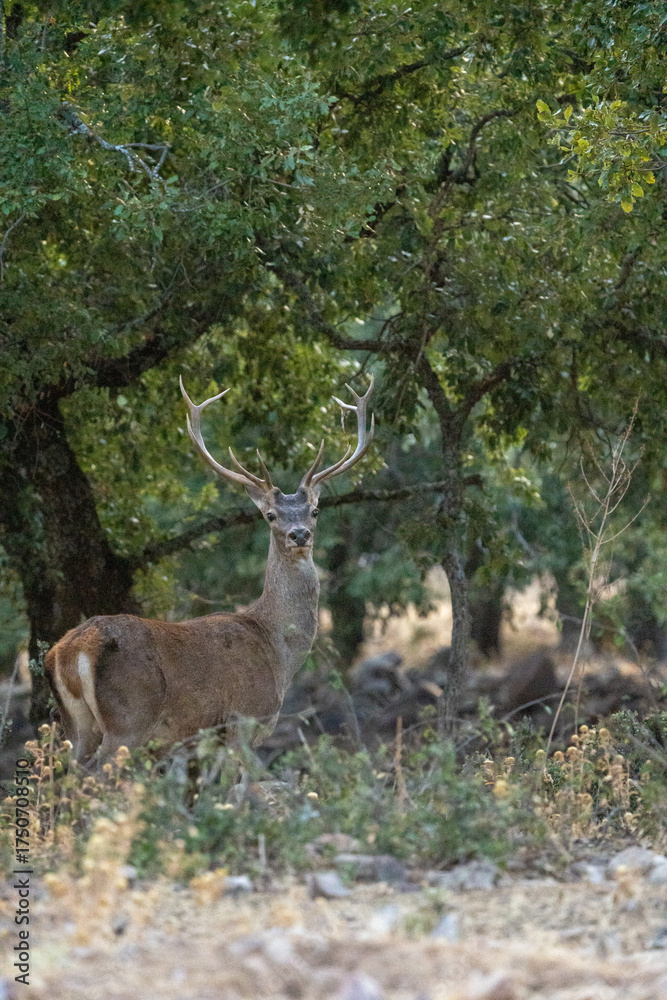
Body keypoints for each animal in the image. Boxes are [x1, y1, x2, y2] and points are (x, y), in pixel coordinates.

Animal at [44, 376, 374, 768]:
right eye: (270, 515)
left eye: (314, 511)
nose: (299, 535)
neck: (278, 651)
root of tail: (68, 652)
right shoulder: (246, 717)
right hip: (129, 719)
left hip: (77, 726)